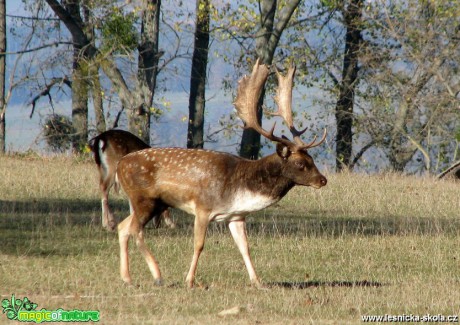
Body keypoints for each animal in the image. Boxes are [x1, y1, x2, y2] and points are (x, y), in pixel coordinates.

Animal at [117, 59, 328, 288]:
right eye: (300, 163)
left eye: (312, 159)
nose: (322, 180)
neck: (239, 189)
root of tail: (119, 165)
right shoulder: (203, 207)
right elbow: (199, 244)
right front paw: (190, 280)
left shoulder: (236, 216)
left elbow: (245, 247)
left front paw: (257, 281)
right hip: (144, 198)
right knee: (135, 229)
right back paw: (157, 275)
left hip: (151, 203)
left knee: (122, 226)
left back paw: (127, 277)